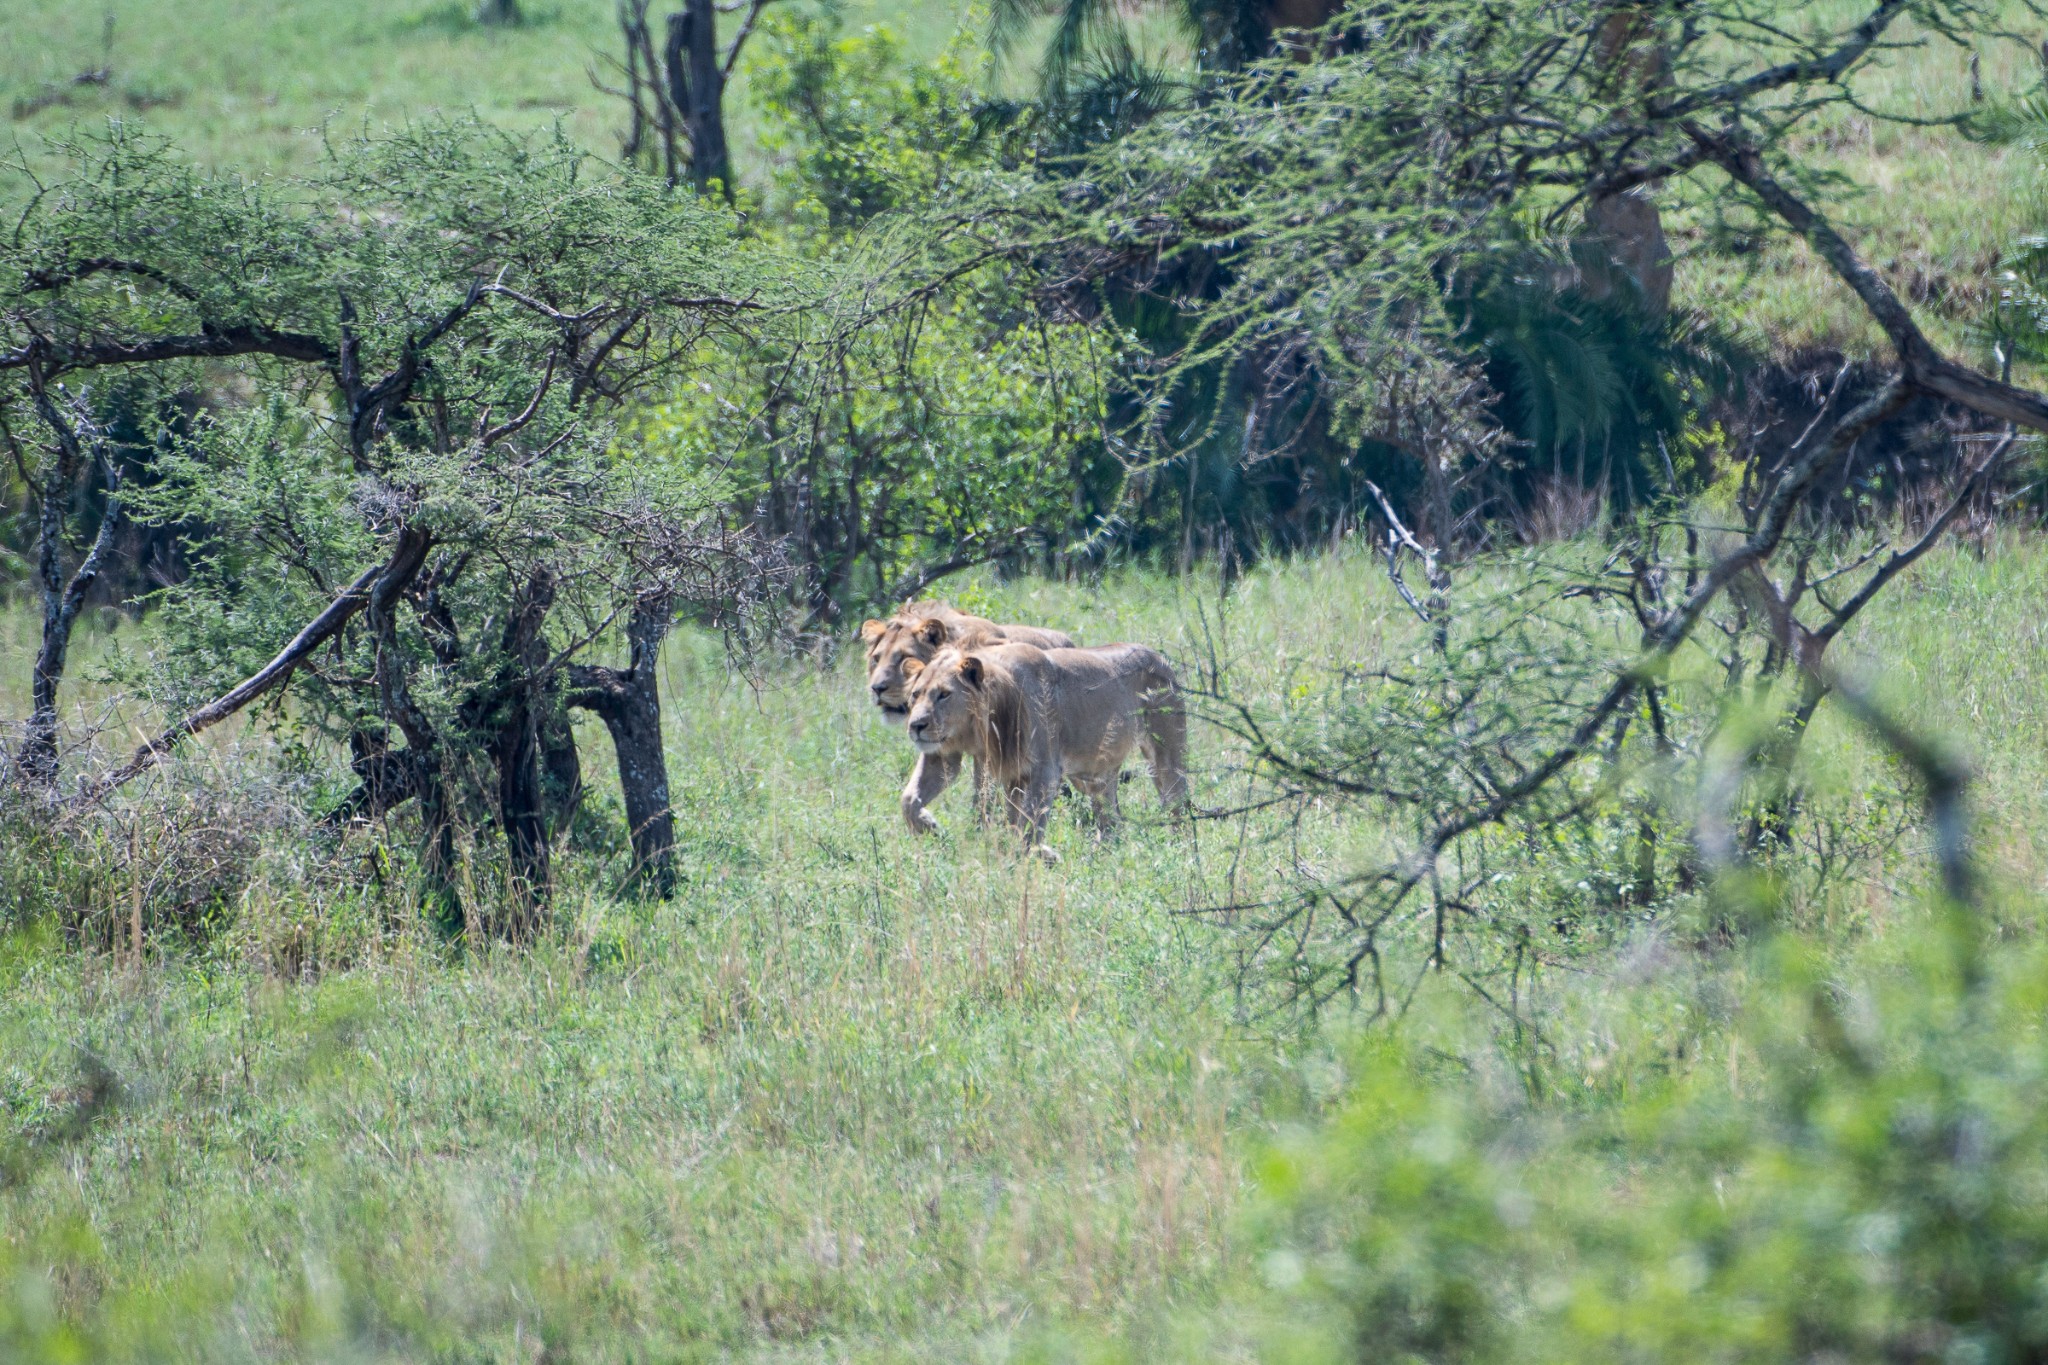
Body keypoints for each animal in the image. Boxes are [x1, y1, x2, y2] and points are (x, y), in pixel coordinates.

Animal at [897, 642, 1187, 855]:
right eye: (916, 694)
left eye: (944, 694)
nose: (916, 725)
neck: (982, 726)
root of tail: (1159, 657)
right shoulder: (943, 755)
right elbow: (909, 799)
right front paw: (931, 828)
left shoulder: (1045, 772)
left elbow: (1030, 824)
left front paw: (1037, 857)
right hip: (1094, 775)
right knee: (1111, 816)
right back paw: (1102, 853)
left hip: (1165, 754)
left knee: (1177, 801)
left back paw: (1177, 851)